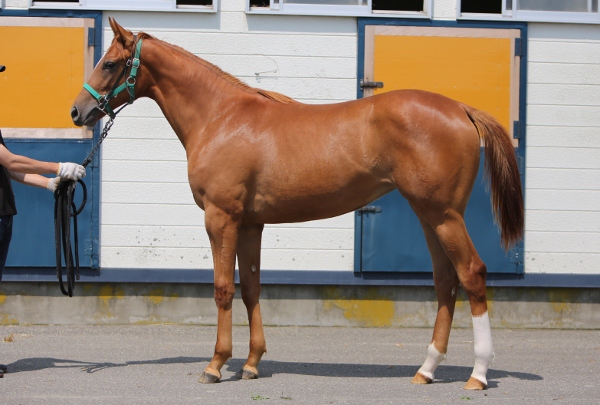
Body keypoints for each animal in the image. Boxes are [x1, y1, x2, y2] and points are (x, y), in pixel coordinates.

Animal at [71, 18, 523, 390]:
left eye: (110, 63)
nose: (78, 111)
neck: (220, 117)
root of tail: (461, 109)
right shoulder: (250, 224)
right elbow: (251, 288)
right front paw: (251, 363)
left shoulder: (221, 218)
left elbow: (222, 289)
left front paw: (216, 364)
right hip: (430, 216)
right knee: (446, 282)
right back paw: (426, 370)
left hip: (444, 215)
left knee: (472, 274)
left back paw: (478, 374)